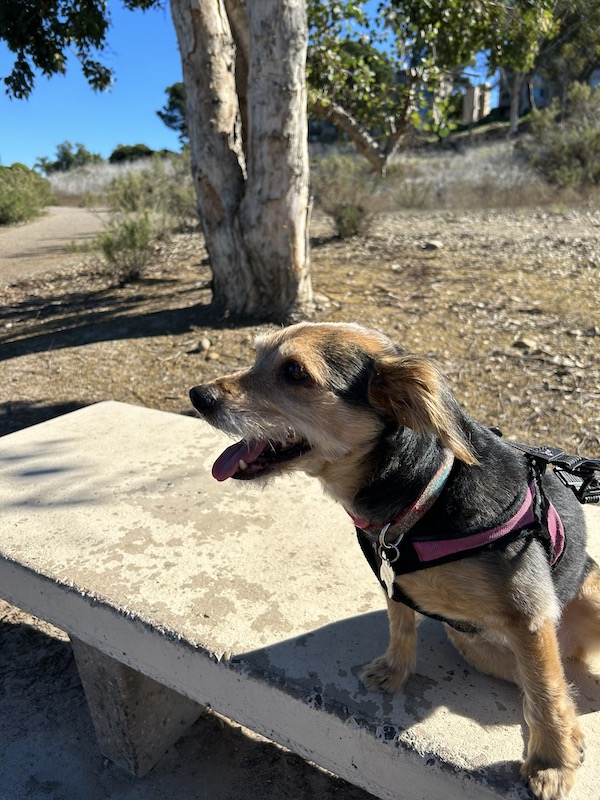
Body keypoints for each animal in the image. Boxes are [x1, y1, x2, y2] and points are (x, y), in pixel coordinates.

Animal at [189, 320, 600, 800]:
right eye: (258, 357)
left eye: (294, 372)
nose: (198, 395)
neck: (423, 493)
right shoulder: (393, 580)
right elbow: (401, 625)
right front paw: (394, 670)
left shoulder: (527, 615)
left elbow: (545, 693)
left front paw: (551, 764)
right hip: (474, 644)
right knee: (549, 680)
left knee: (551, 682)